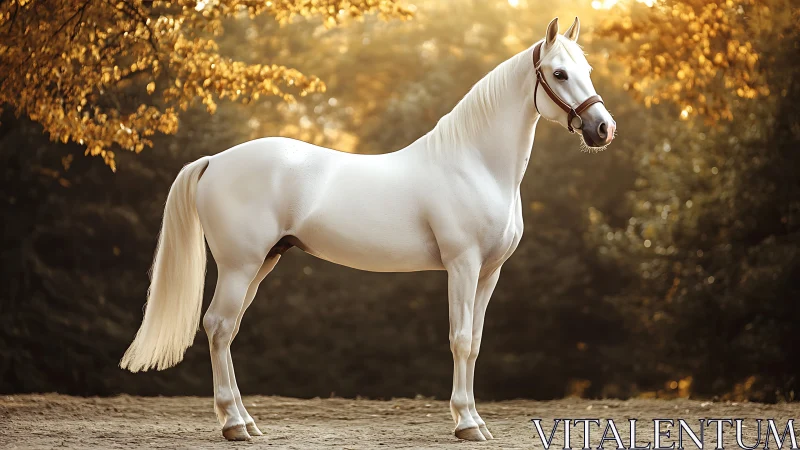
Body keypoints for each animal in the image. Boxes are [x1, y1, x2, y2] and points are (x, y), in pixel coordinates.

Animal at [120, 16, 616, 442]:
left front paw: (475, 421)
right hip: (239, 265)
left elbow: (474, 343)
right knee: (219, 326)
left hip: (263, 262)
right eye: (558, 74)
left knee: (227, 328)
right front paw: (465, 424)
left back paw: (246, 421)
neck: (475, 163)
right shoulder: (463, 265)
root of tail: (214, 160)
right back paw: (234, 426)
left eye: (587, 69)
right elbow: (458, 340)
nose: (603, 128)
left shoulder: (490, 272)